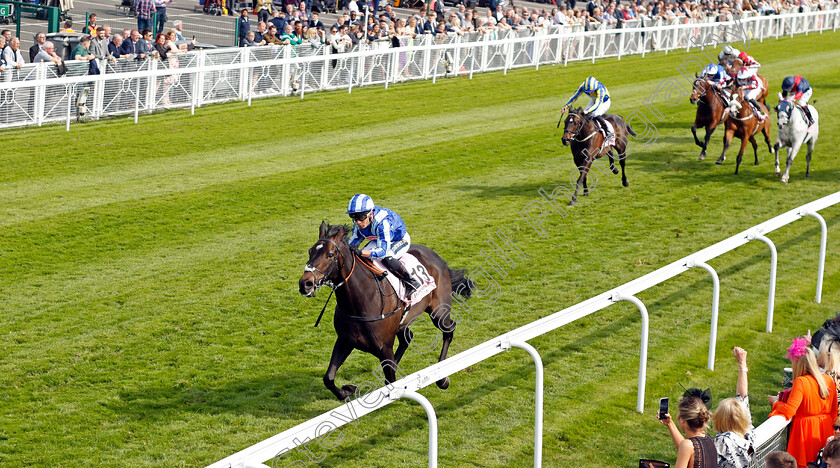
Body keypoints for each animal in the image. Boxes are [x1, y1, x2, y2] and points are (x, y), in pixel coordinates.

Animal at [300, 199, 472, 400]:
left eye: (329, 255)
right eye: (310, 252)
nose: (305, 284)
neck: (360, 302)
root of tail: (437, 257)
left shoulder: (384, 347)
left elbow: (391, 380)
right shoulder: (345, 341)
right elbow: (328, 378)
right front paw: (347, 390)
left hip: (439, 311)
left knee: (448, 330)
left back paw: (442, 378)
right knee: (407, 337)